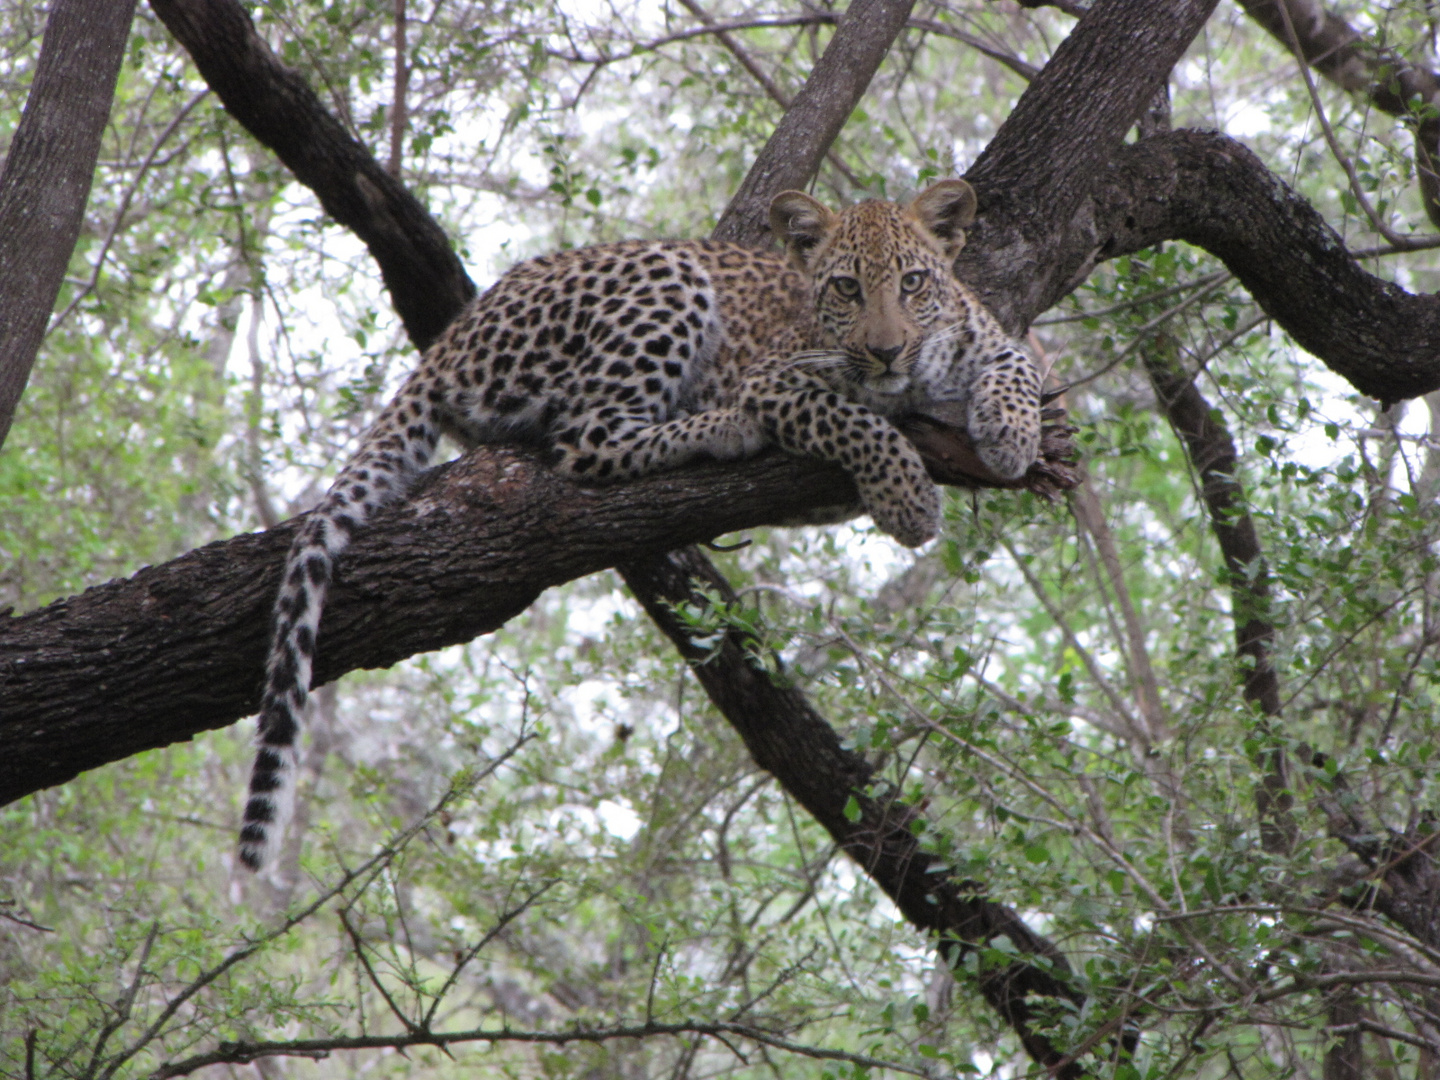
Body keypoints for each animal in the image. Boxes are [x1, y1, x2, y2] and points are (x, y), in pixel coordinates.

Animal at [241, 180, 1042, 869]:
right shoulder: (777, 379)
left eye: (913, 283)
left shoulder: (997, 341)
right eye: (846, 288)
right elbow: (855, 420)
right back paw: (724, 427)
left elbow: (1019, 368)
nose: (885, 349)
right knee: (587, 436)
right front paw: (907, 496)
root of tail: (448, 339)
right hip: (662, 282)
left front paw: (1011, 434)